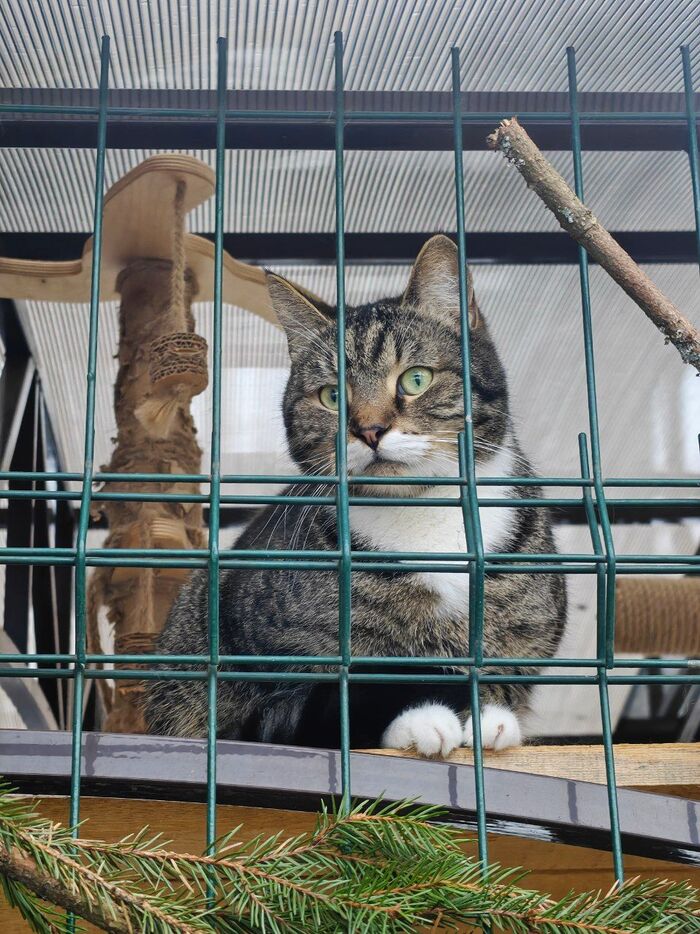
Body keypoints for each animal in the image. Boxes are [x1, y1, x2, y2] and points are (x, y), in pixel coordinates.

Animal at [143, 235, 566, 757]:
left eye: (416, 379)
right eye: (331, 396)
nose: (369, 429)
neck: (425, 513)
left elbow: (500, 678)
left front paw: (487, 715)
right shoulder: (269, 668)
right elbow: (335, 706)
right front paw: (421, 717)